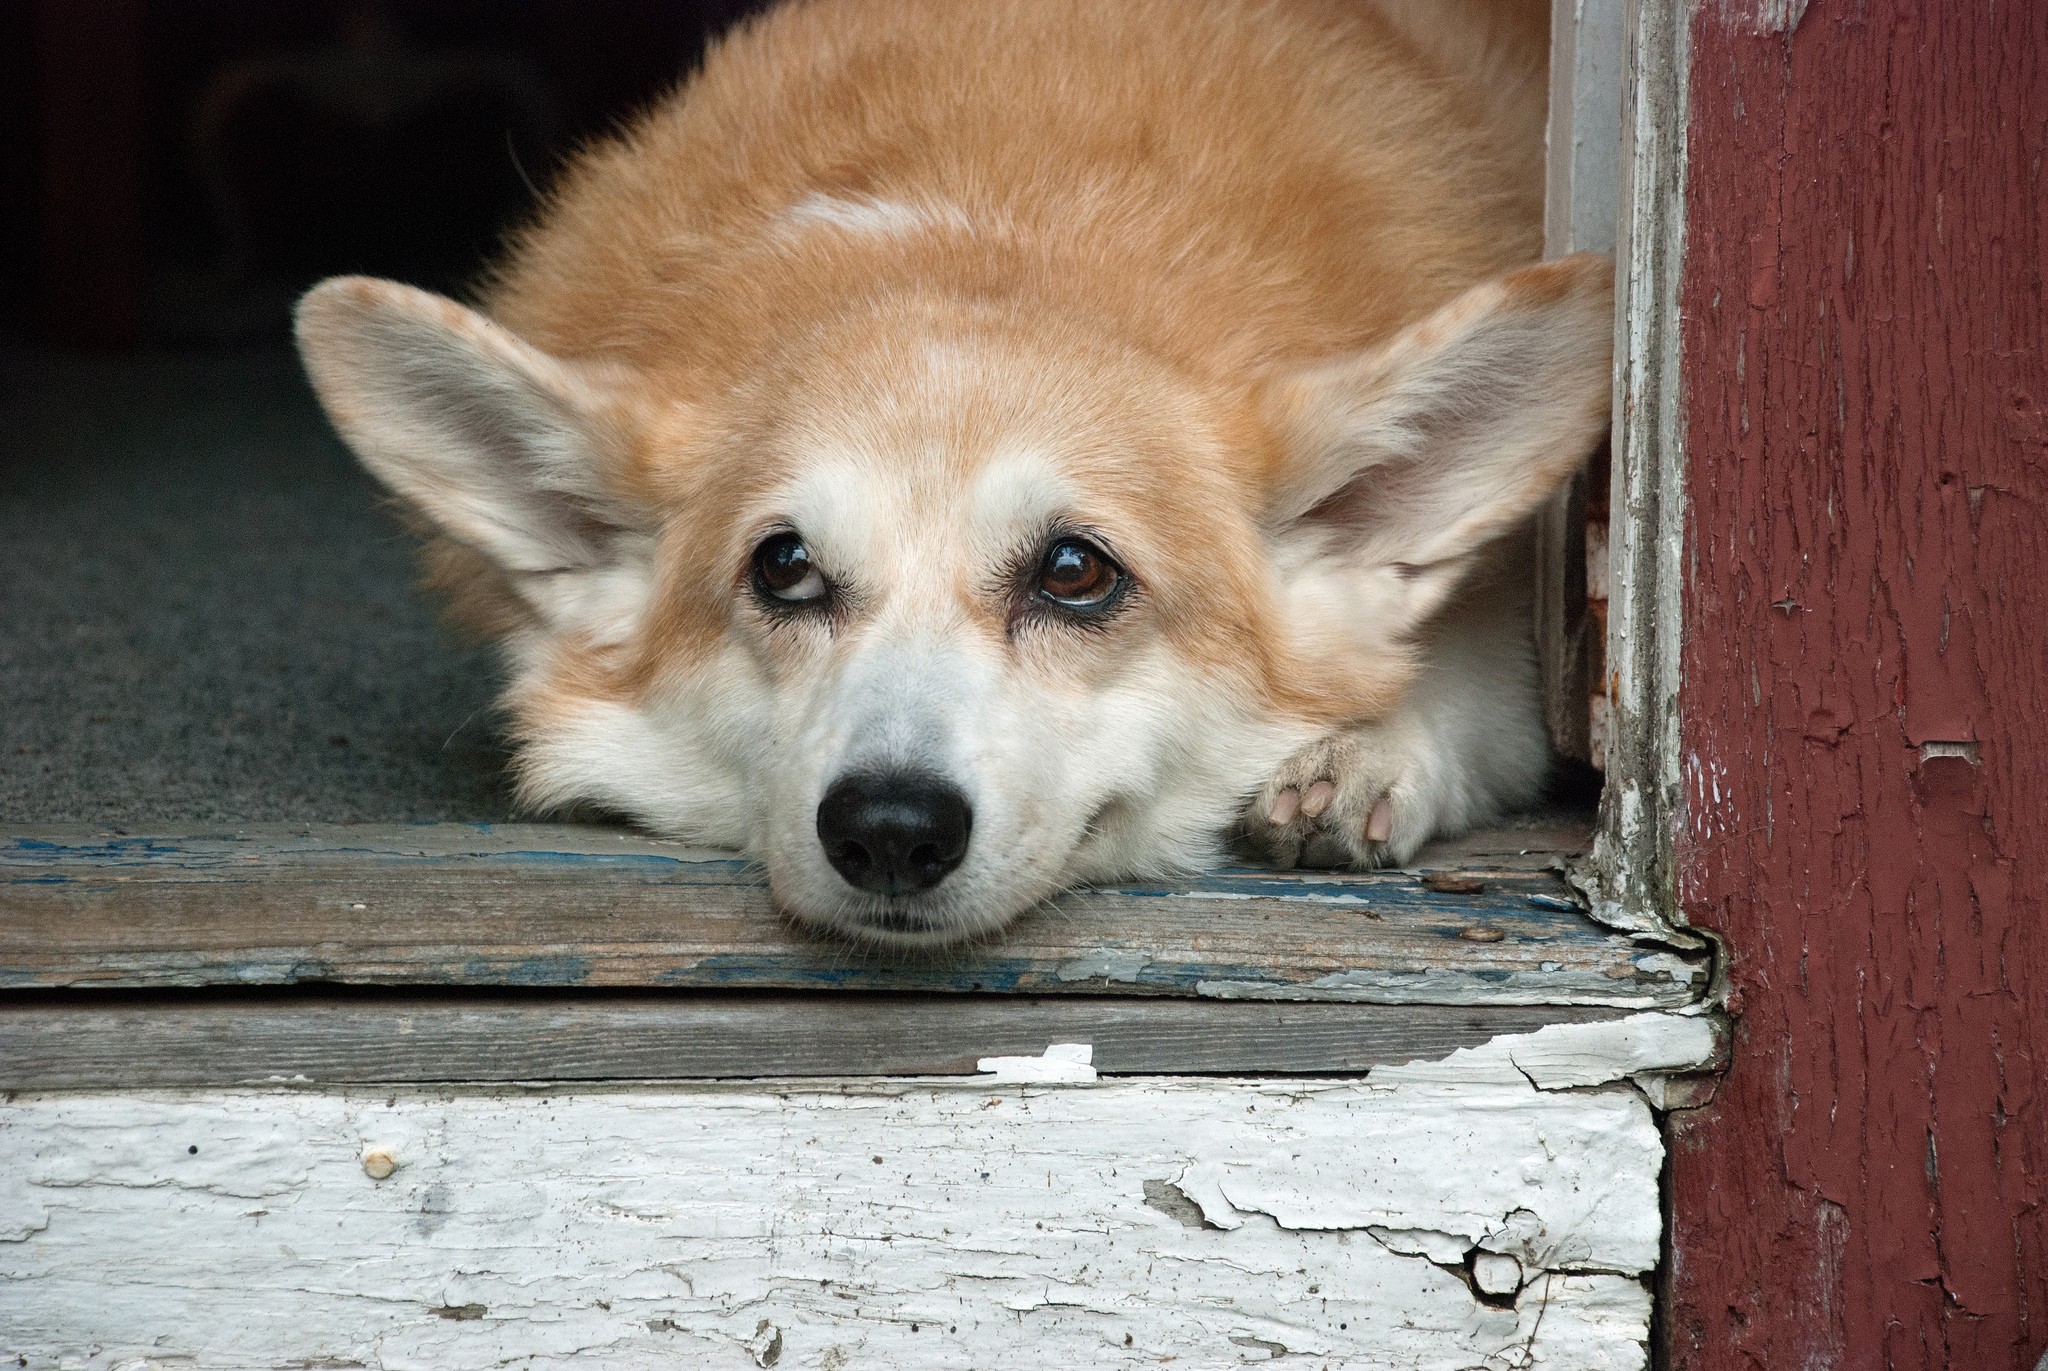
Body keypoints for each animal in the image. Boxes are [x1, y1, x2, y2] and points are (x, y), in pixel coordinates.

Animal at [299, 0, 1613, 942]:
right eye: (782, 569)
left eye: (1076, 573)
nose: (888, 830)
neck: (979, 225)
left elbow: (1475, 695)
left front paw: (1362, 756)